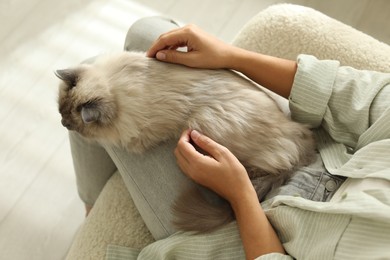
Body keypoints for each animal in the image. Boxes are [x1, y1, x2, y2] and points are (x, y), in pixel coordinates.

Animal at [55, 50, 316, 232]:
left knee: (271, 170)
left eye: (72, 123)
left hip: (204, 121)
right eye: (60, 112)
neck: (116, 86)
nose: (62, 123)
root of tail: (302, 140)